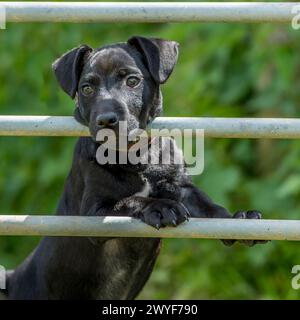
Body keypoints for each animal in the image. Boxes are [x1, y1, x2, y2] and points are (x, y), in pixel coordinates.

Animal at [2, 37, 266, 300]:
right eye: (86, 88)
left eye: (132, 81)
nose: (106, 120)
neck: (136, 156)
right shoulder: (93, 212)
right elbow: (130, 200)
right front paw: (161, 206)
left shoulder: (181, 188)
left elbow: (210, 207)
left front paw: (238, 219)